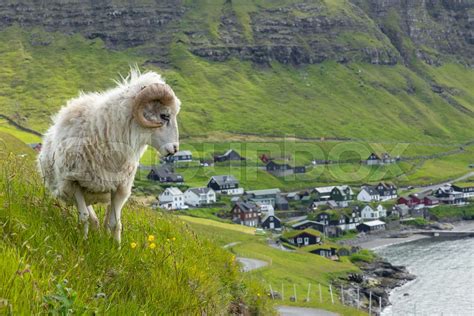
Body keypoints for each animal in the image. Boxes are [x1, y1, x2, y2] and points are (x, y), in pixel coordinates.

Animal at [37, 68, 180, 243]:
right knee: (91, 217)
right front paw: (83, 243)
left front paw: (116, 247)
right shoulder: (73, 182)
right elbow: (84, 218)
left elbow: (115, 223)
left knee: (101, 220)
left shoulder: (120, 188)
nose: (175, 148)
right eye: (164, 115)